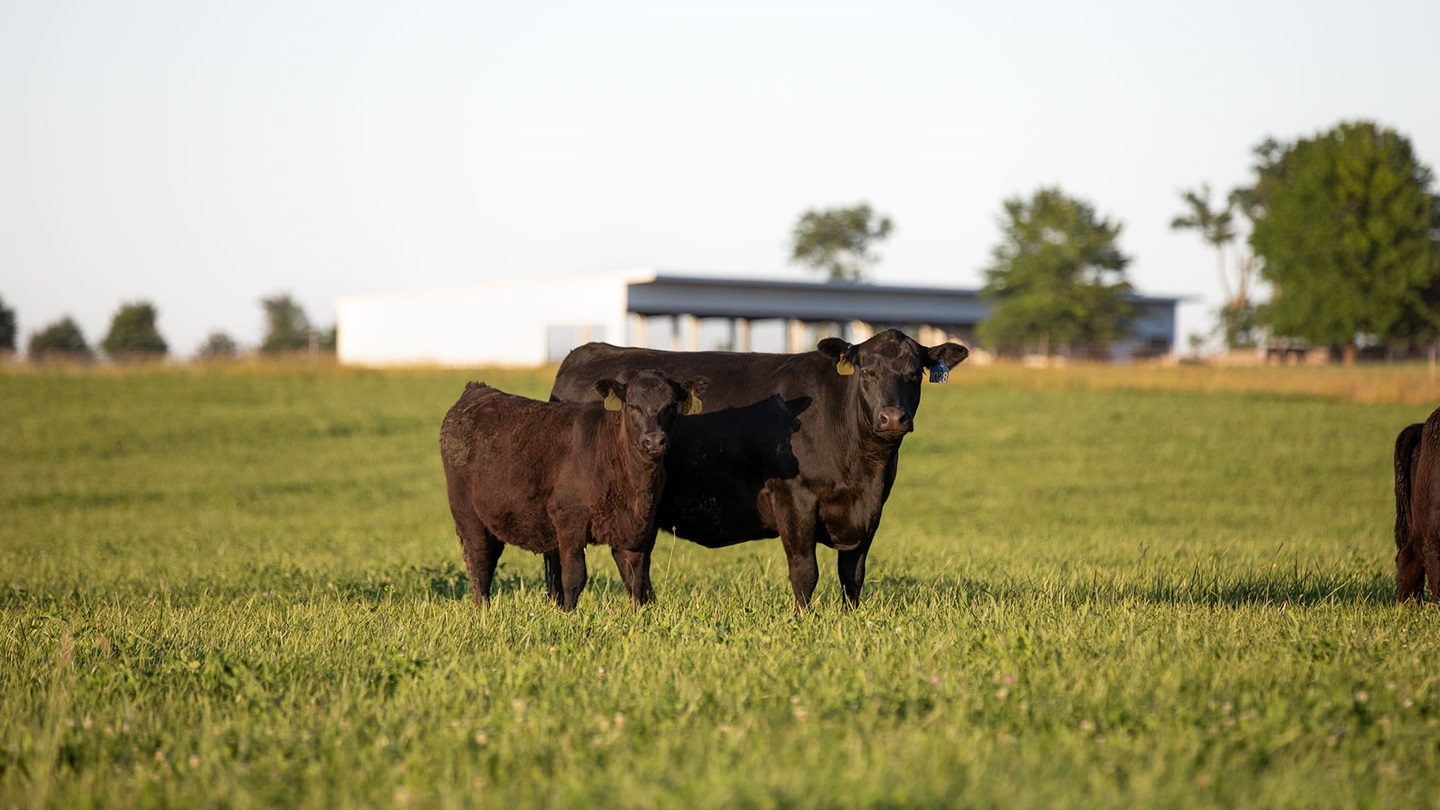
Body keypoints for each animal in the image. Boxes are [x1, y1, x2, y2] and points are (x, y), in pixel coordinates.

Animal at [439, 371, 707, 611]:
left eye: (671, 406)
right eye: (632, 406)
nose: (654, 441)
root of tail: (477, 390)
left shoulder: (639, 525)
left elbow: (636, 579)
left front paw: (639, 615)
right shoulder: (569, 520)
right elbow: (574, 576)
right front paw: (568, 615)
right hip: (466, 513)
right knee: (479, 561)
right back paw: (482, 611)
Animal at [548, 328, 969, 609]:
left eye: (914, 374)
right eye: (867, 372)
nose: (892, 417)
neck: (862, 470)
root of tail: (588, 351)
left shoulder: (870, 511)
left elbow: (853, 575)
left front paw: (851, 618)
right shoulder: (794, 499)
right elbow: (805, 572)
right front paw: (804, 620)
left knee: (631, 558)